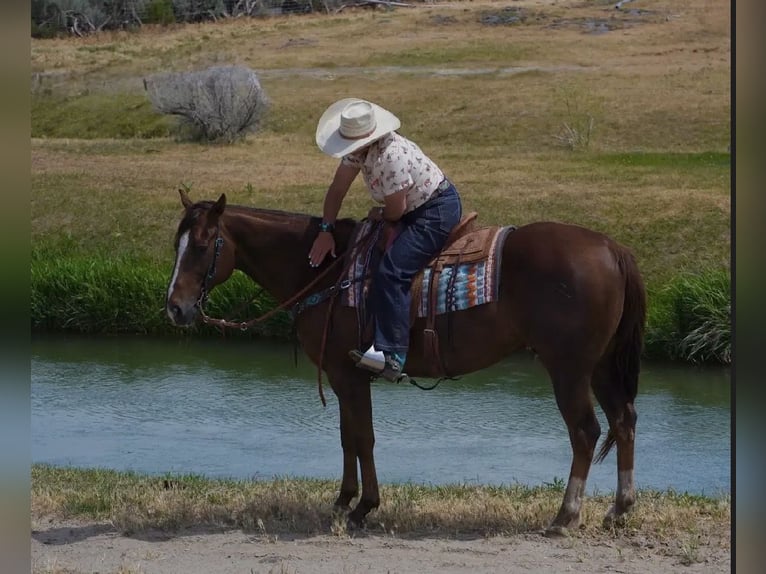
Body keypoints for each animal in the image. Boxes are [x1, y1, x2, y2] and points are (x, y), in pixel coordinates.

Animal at [165, 189, 646, 536]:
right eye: (177, 244)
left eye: (204, 245)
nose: (175, 308)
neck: (327, 272)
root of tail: (611, 247)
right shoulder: (343, 375)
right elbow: (348, 437)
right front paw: (343, 501)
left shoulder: (348, 373)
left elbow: (364, 437)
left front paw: (363, 507)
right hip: (601, 367)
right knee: (624, 420)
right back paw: (619, 509)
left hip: (568, 369)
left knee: (586, 432)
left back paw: (566, 517)